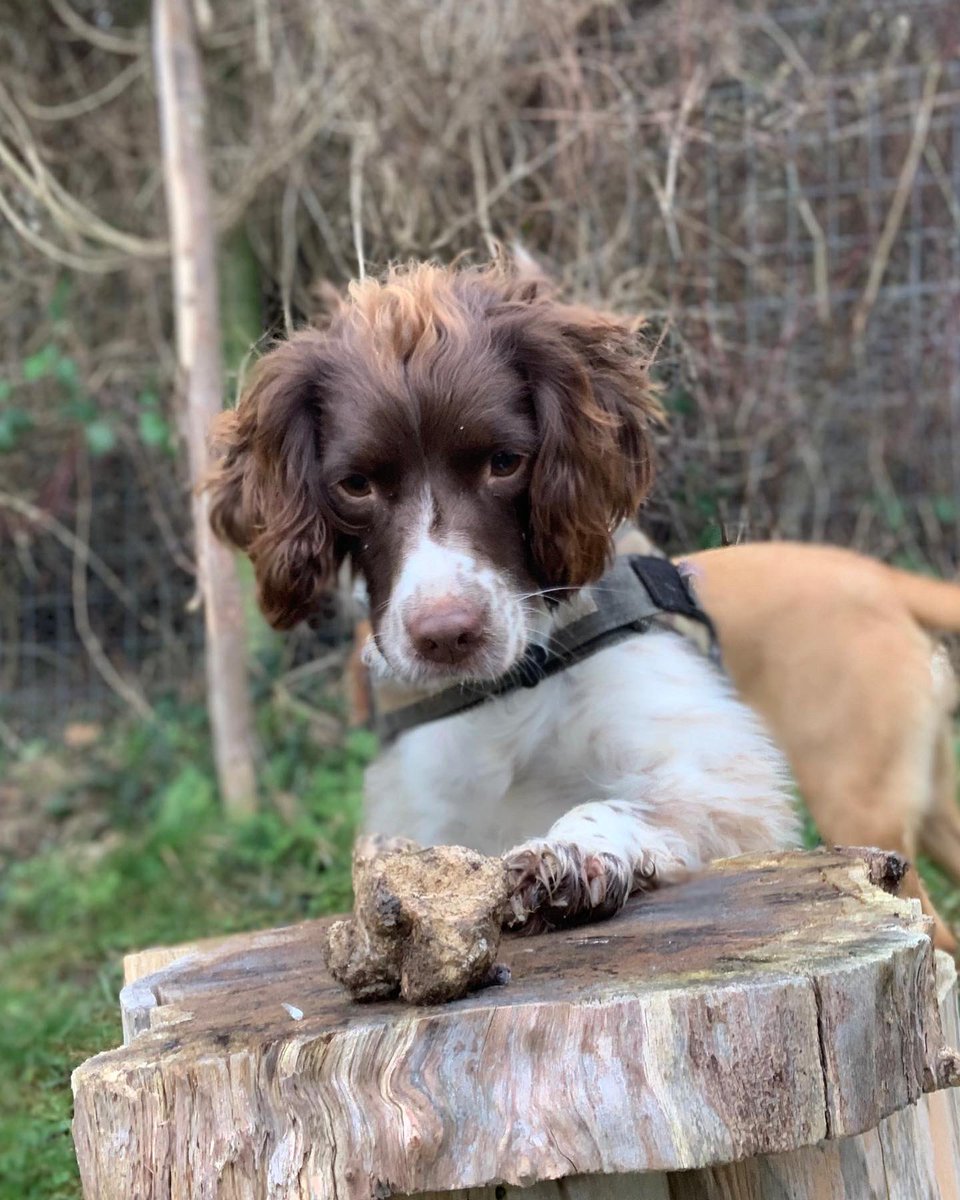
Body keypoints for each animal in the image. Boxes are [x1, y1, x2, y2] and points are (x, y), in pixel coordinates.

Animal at [204, 260, 796, 926]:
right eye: (356, 485)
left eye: (506, 462)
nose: (445, 636)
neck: (505, 694)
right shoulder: (422, 813)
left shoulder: (725, 778)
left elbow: (635, 802)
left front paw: (573, 851)